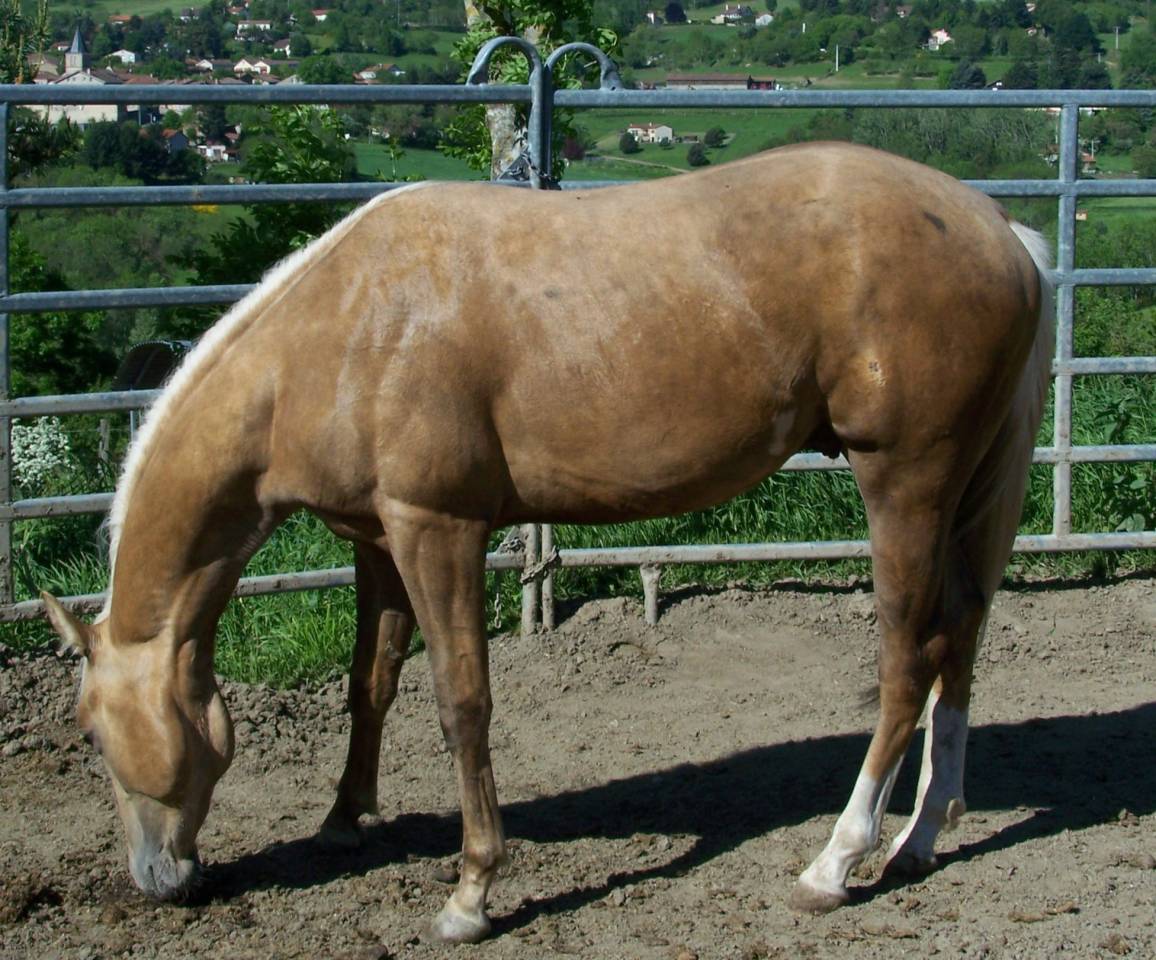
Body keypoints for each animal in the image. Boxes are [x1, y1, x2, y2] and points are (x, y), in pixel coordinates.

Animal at [42, 141, 1054, 944]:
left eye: (89, 729)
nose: (157, 881)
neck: (342, 334)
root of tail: (1004, 231)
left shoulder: (436, 530)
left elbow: (461, 703)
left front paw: (470, 893)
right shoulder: (376, 539)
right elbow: (371, 683)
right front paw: (345, 819)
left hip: (904, 482)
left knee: (907, 659)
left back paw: (836, 862)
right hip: (960, 491)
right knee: (962, 637)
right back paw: (922, 838)